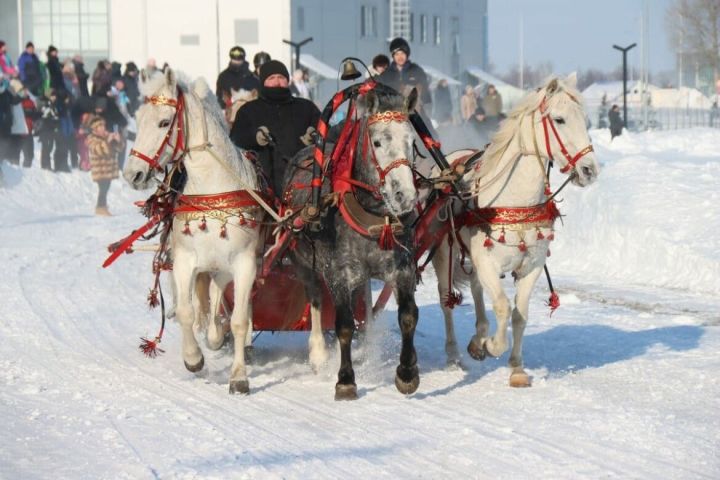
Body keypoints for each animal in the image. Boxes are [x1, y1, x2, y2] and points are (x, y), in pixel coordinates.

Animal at [124, 70, 270, 394]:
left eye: (164, 122)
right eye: (138, 120)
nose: (132, 174)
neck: (211, 189)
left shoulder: (243, 263)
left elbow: (239, 320)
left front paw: (238, 376)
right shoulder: (185, 260)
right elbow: (186, 313)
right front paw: (193, 358)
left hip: (224, 267)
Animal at [436, 74, 600, 386]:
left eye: (585, 120)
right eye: (559, 119)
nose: (589, 170)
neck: (514, 199)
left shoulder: (531, 266)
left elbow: (519, 314)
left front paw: (516, 367)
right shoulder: (487, 263)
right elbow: (502, 306)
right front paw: (492, 345)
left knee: (475, 289)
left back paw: (477, 337)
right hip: (444, 256)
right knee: (446, 299)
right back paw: (452, 355)